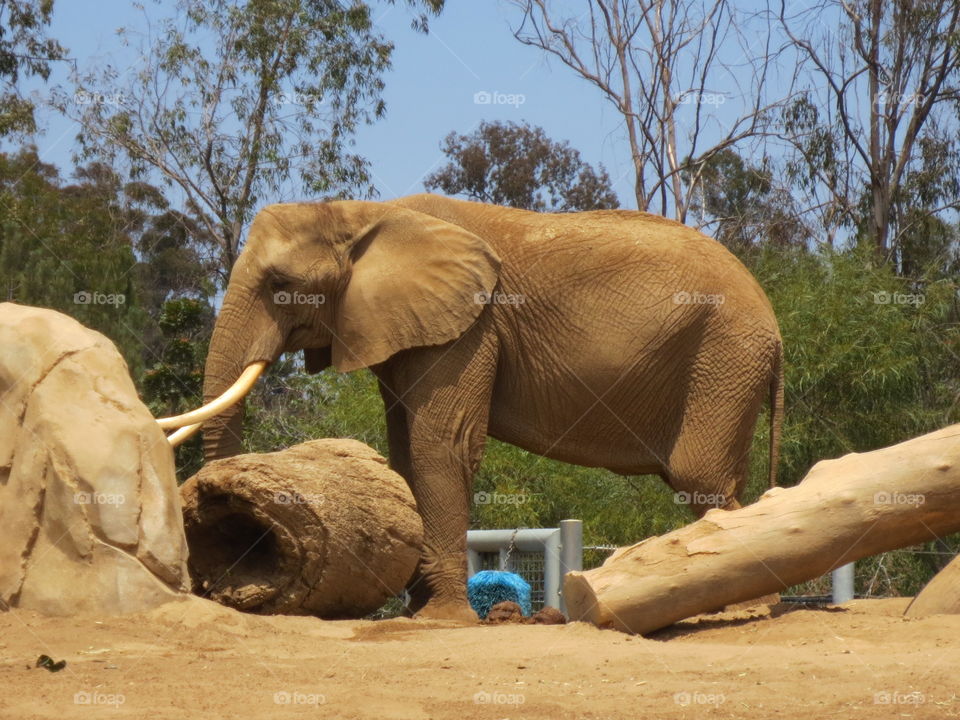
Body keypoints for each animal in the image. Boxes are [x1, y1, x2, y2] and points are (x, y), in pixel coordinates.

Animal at [164, 193, 783, 622]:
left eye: (280, 284)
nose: (229, 542)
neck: (361, 212)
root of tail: (774, 325)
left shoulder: (469, 326)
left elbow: (441, 445)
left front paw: (440, 619)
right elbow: (404, 452)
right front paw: (417, 611)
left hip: (724, 354)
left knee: (699, 478)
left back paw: (744, 608)